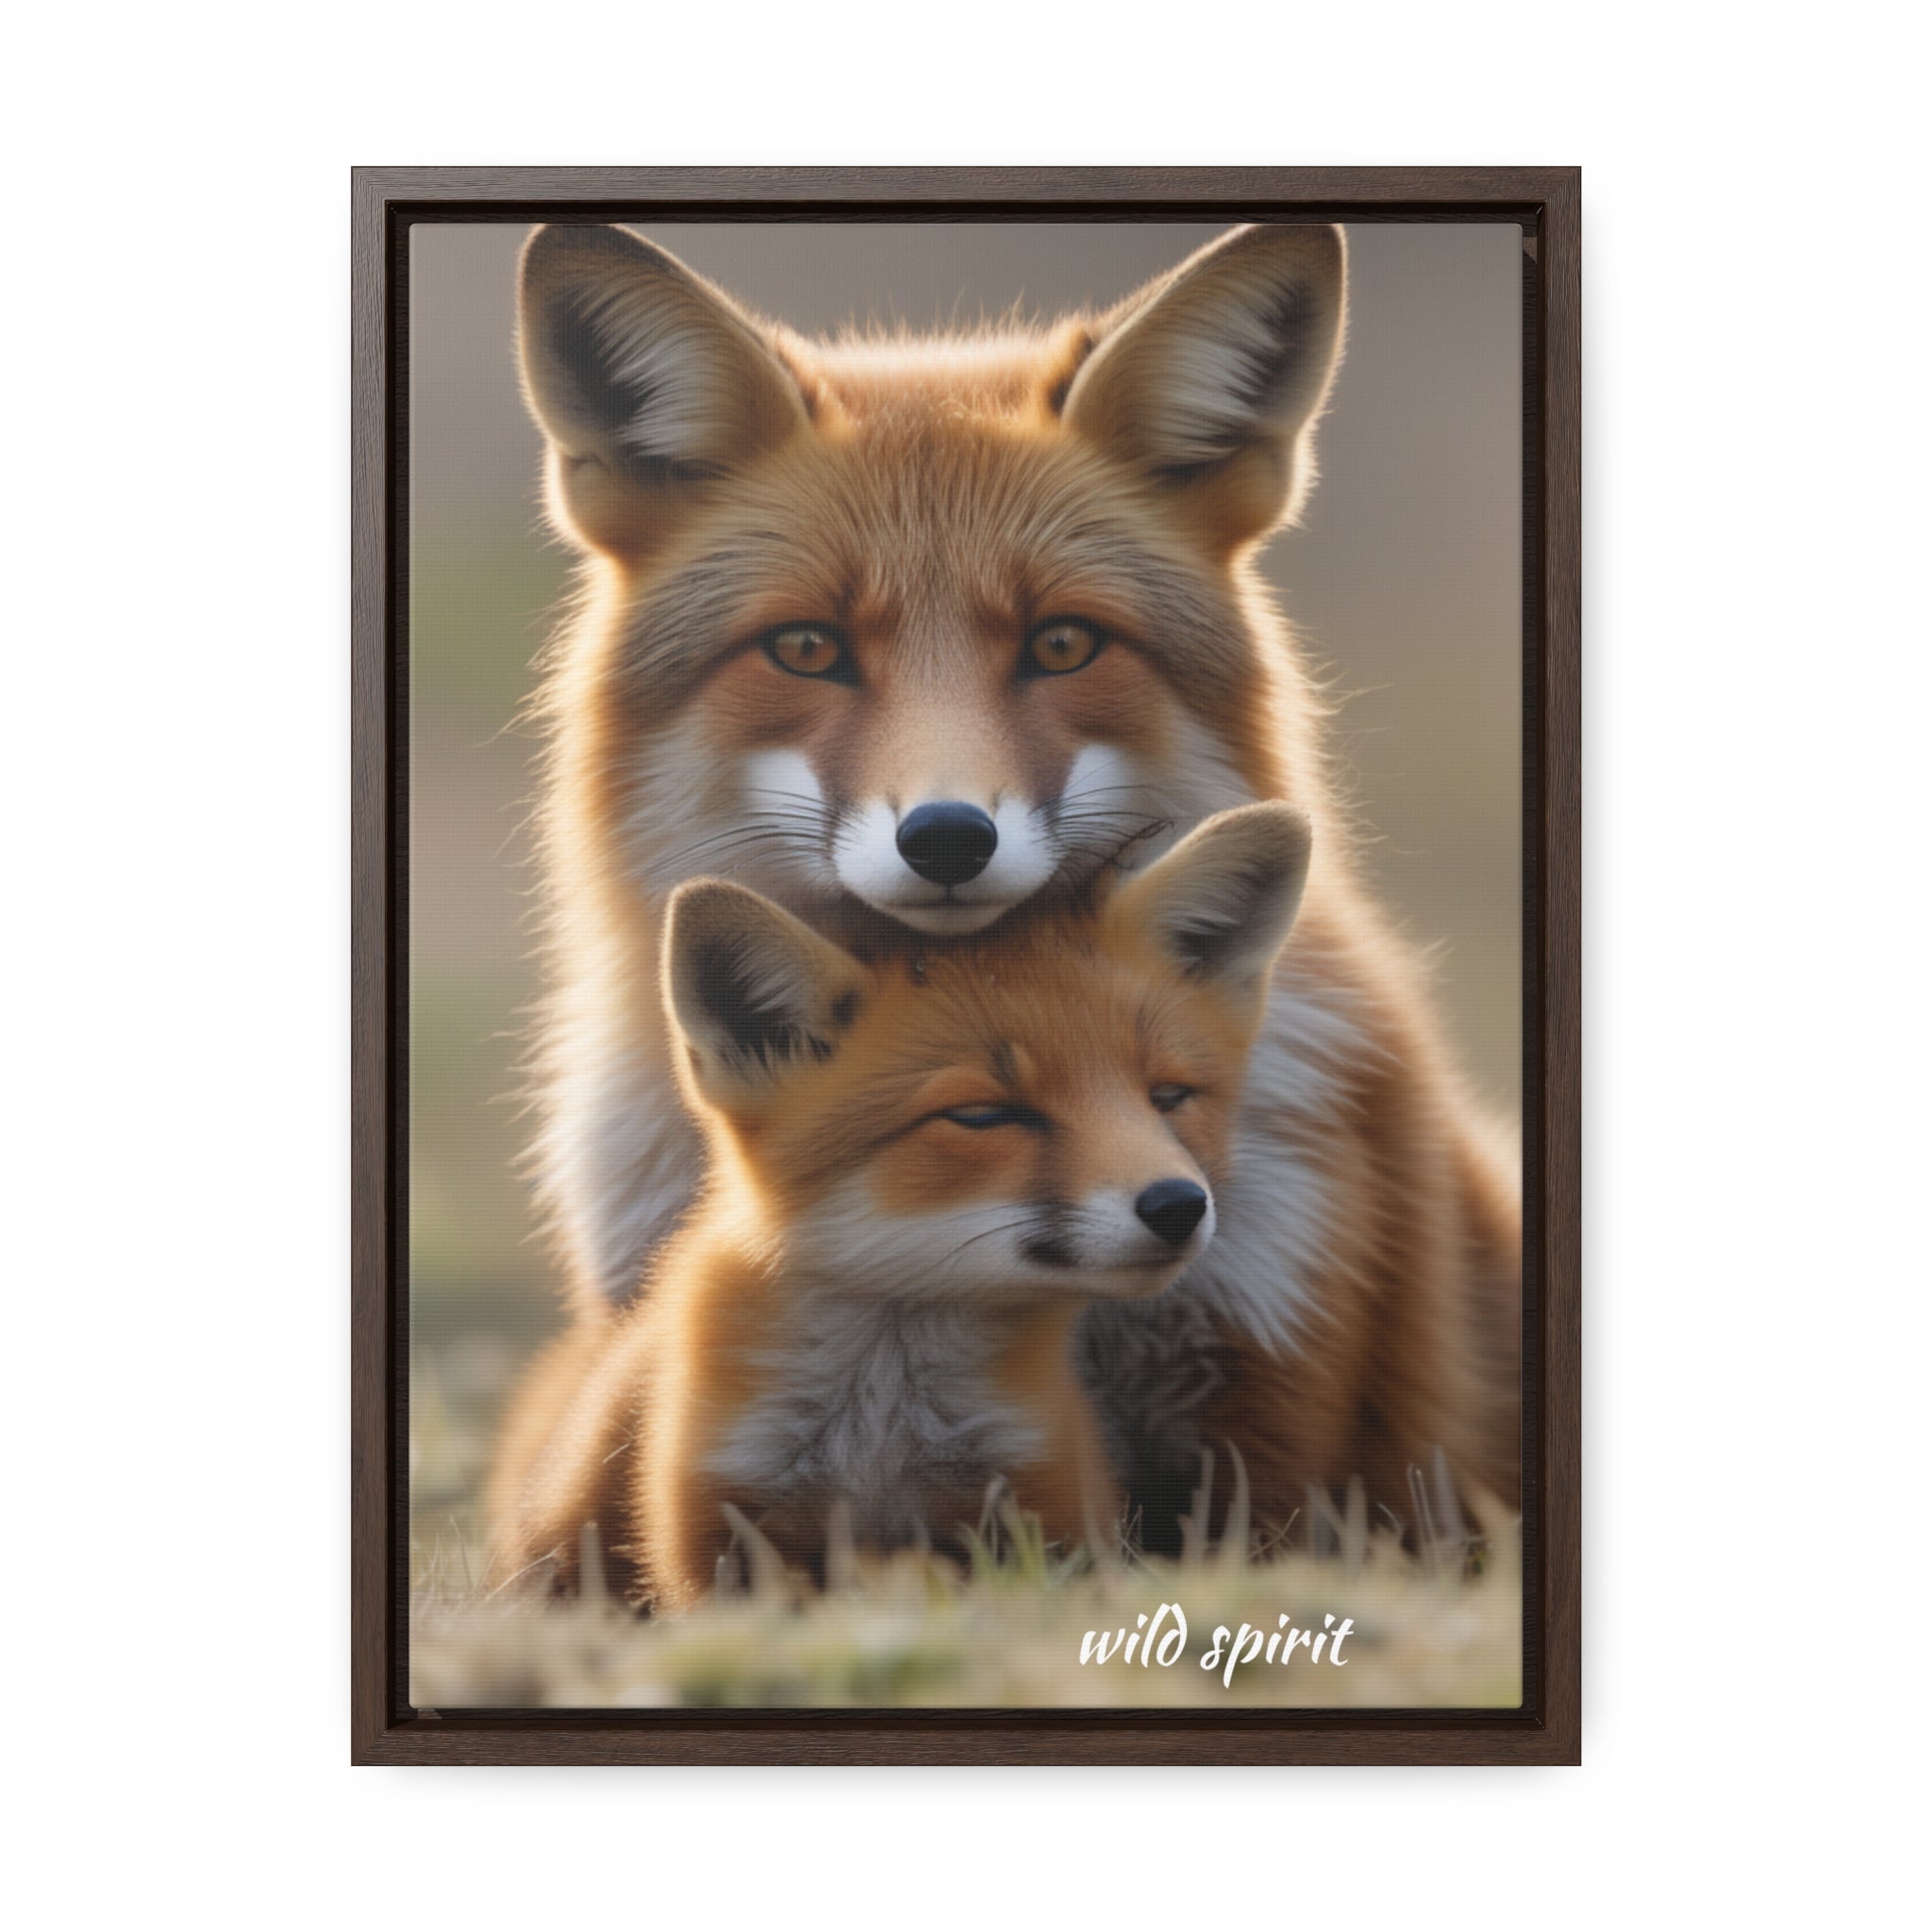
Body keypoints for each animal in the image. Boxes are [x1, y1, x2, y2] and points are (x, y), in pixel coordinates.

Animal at [488, 805, 1314, 1608]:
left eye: (1168, 1097)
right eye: (983, 1115)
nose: (1178, 1205)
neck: (882, 1428)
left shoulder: (1043, 1505)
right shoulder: (718, 1529)